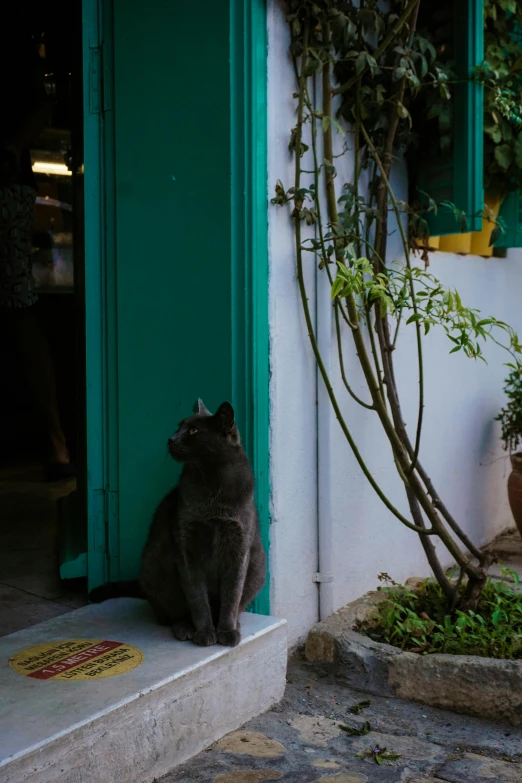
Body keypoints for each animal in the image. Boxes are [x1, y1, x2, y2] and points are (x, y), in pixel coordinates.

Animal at [89, 402, 264, 648]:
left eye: (193, 431)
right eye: (178, 426)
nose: (170, 439)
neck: (212, 481)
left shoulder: (238, 548)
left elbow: (232, 595)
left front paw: (227, 632)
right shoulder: (186, 548)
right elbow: (197, 598)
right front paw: (205, 633)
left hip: (258, 565)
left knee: (237, 603)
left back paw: (234, 625)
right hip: (156, 566)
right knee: (170, 613)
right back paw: (185, 628)